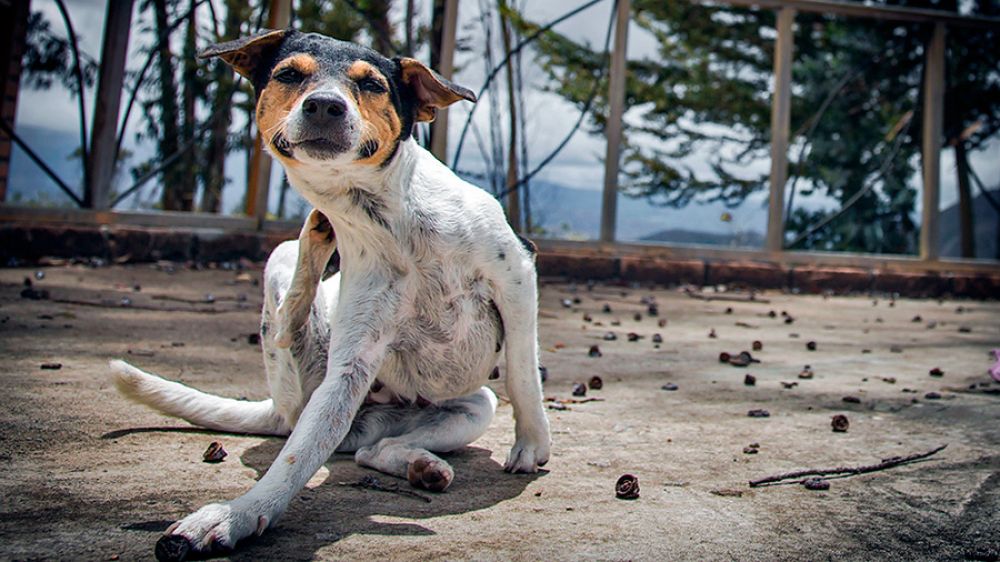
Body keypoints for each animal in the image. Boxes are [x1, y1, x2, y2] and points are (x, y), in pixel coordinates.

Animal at [112, 30, 552, 560]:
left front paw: (531, 444)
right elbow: (295, 459)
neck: (389, 218)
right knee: (324, 405)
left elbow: (523, 372)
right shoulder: (351, 366)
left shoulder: (517, 274)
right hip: (304, 354)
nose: (324, 105)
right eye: (289, 74)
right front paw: (238, 515)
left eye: (373, 84)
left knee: (376, 449)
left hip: (472, 407)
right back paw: (300, 289)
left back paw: (422, 464)